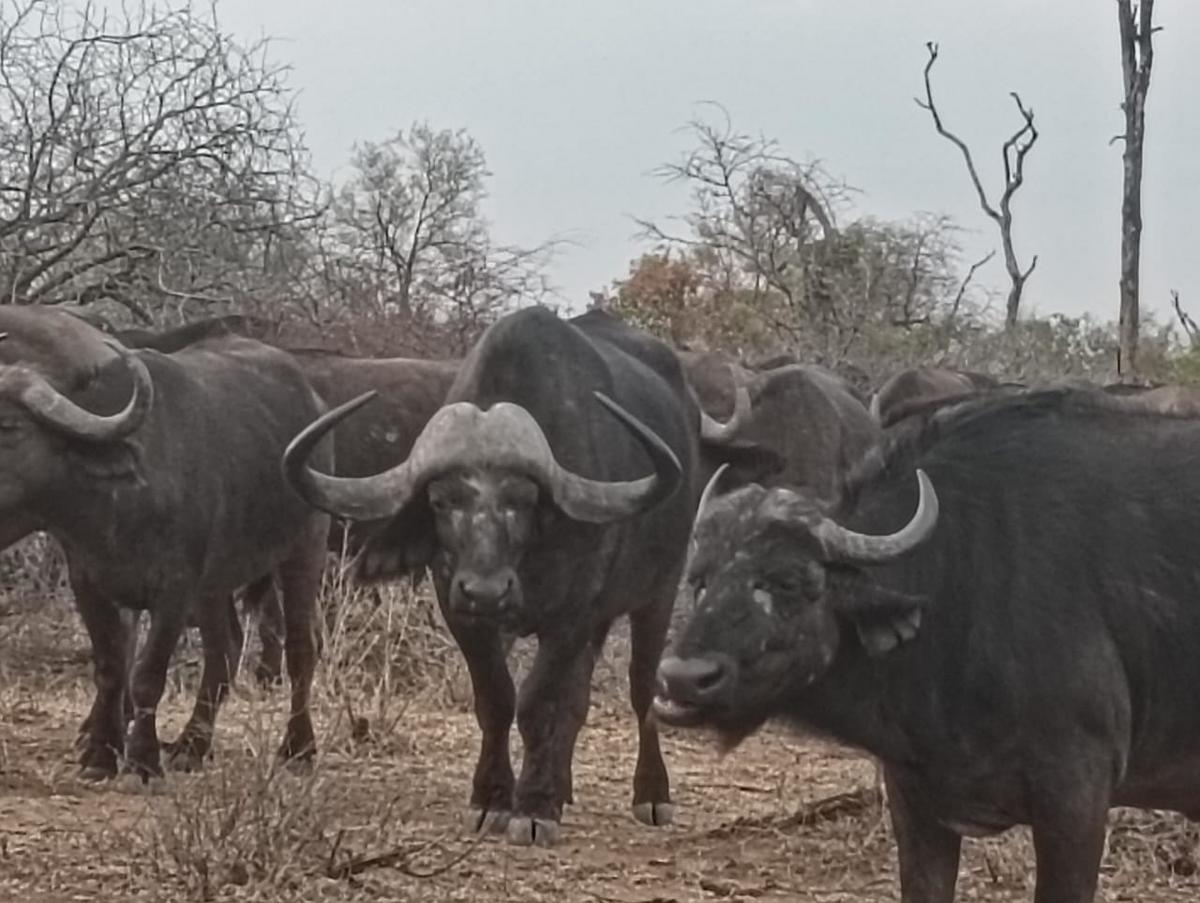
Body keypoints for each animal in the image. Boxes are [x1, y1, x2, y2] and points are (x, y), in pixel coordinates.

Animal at [0, 307, 329, 780]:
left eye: (8, 426)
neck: (118, 500)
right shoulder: (90, 583)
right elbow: (111, 666)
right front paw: (101, 754)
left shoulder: (174, 589)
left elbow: (147, 674)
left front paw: (142, 759)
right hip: (215, 584)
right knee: (225, 647)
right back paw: (192, 745)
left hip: (305, 548)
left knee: (301, 646)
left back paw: (299, 748)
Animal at [284, 306, 697, 847]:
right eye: (441, 501)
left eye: (523, 500)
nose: (485, 591)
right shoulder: (461, 611)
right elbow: (498, 698)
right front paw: (494, 798)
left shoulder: (571, 616)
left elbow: (540, 702)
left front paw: (535, 809)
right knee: (578, 700)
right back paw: (561, 786)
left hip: (658, 593)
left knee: (641, 685)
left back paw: (650, 793)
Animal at [654, 387, 1200, 903]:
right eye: (699, 579)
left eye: (788, 581)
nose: (683, 679)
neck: (959, 581)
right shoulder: (915, 801)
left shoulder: (1077, 796)